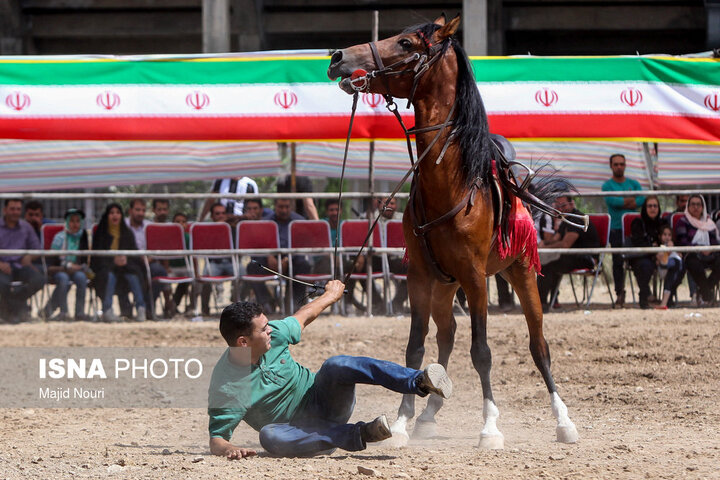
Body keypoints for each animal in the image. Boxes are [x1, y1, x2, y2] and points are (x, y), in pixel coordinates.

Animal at [328, 13, 580, 448]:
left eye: (407, 43)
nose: (338, 57)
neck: (451, 185)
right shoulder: (418, 276)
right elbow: (415, 348)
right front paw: (401, 421)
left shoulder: (476, 278)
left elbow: (482, 352)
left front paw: (490, 427)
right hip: (445, 286)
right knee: (446, 334)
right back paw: (429, 412)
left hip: (519, 272)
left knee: (539, 345)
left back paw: (563, 420)